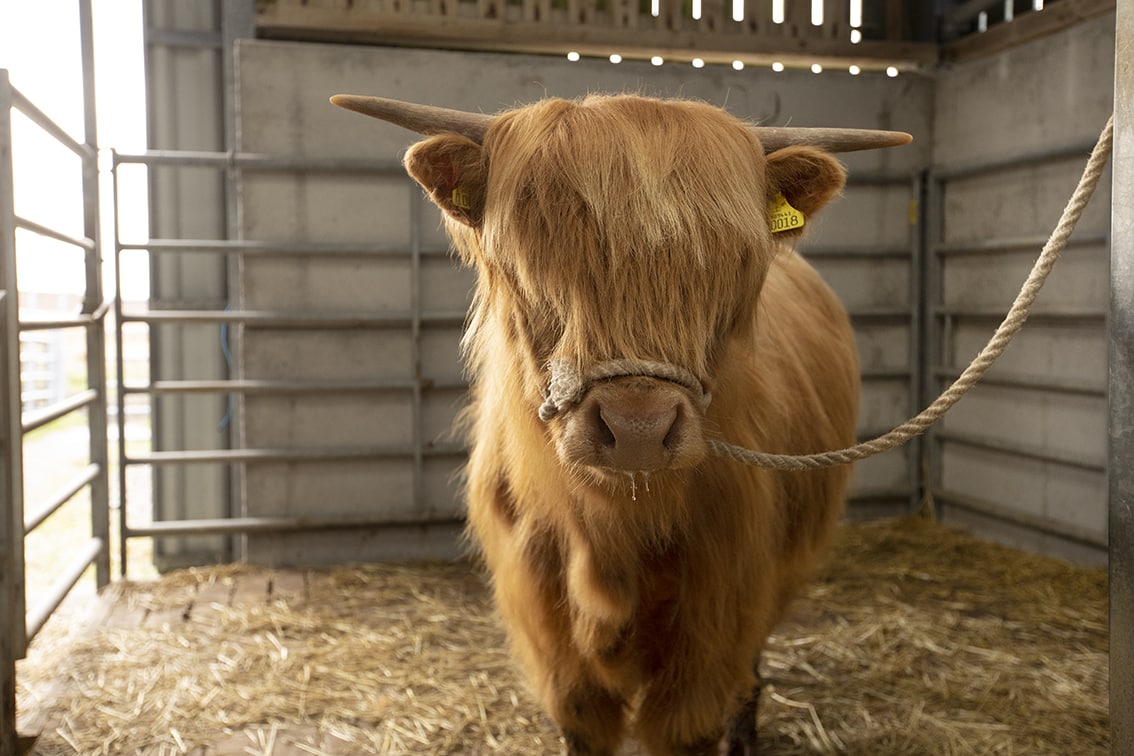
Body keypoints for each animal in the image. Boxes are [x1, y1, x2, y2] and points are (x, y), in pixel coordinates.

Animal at [331, 94, 911, 756]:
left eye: (735, 264)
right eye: (527, 260)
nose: (638, 429)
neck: (608, 534)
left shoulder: (713, 620)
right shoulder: (549, 630)